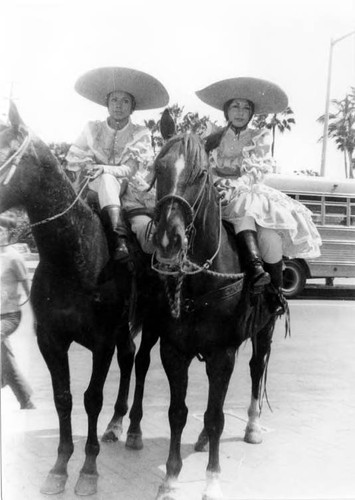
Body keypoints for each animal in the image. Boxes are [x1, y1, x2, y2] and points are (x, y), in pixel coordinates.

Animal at [0, 101, 136, 496]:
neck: (76, 257)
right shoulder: (50, 340)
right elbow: (63, 399)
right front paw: (60, 467)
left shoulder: (102, 341)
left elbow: (92, 398)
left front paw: (88, 470)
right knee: (130, 358)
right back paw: (116, 424)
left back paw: (132, 429)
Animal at [147, 132, 284, 500]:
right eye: (158, 167)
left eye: (200, 174)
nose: (168, 240)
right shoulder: (173, 352)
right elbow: (178, 413)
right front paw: (171, 479)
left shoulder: (222, 354)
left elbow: (215, 417)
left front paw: (212, 481)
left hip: (264, 332)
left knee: (256, 369)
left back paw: (252, 426)